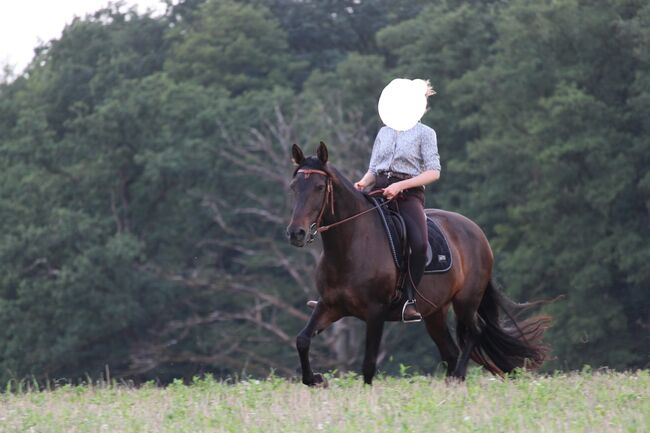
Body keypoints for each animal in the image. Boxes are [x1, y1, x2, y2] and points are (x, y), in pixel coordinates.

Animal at [286, 142, 550, 386]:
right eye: (294, 187)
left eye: (320, 187)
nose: (296, 233)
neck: (351, 246)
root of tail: (477, 232)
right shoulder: (330, 305)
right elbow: (302, 339)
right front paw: (315, 379)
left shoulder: (375, 312)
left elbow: (368, 365)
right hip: (434, 313)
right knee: (451, 351)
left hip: (466, 302)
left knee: (475, 333)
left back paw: (457, 377)